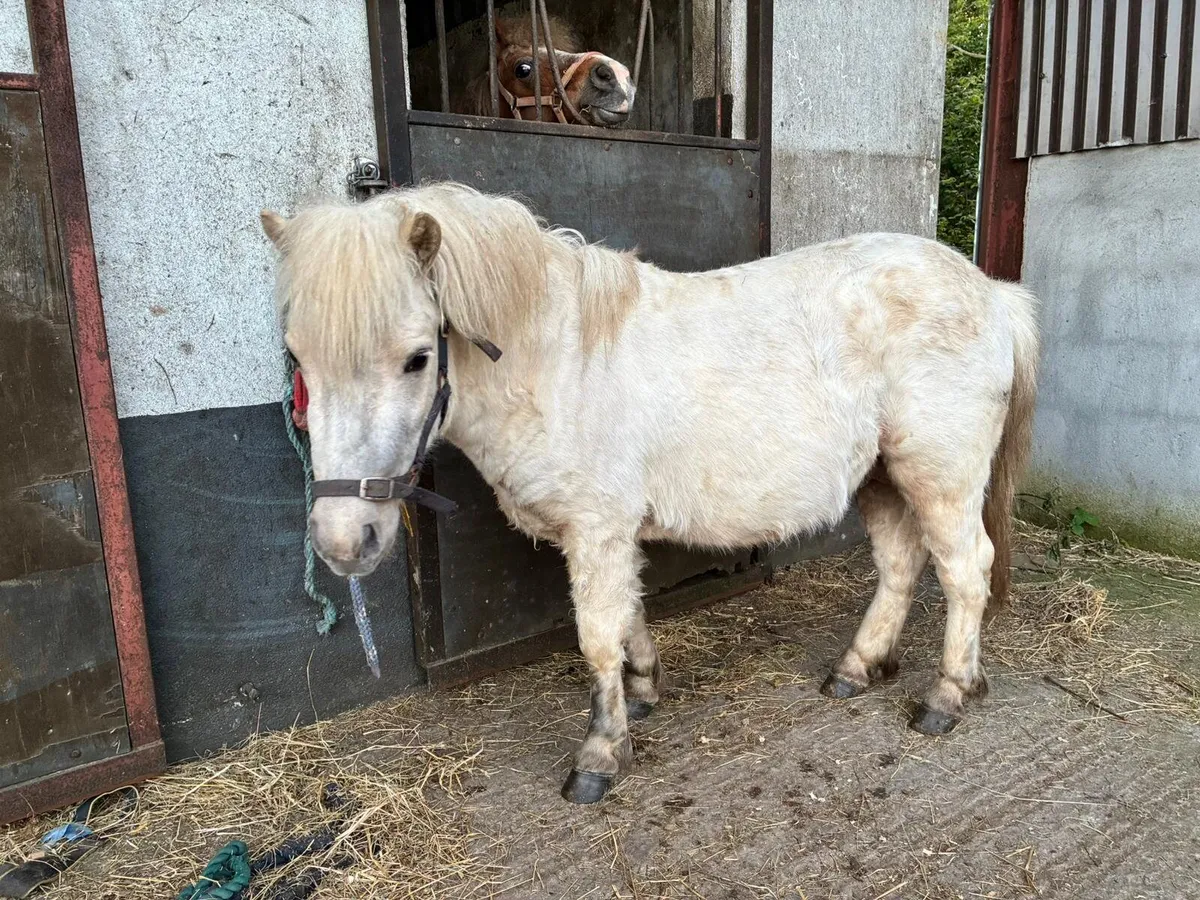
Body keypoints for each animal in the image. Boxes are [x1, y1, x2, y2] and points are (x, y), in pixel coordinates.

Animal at [260, 183, 1040, 805]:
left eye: (418, 358)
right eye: (298, 358)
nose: (342, 541)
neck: (558, 361)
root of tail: (992, 293)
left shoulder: (596, 528)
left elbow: (596, 636)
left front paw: (601, 754)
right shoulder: (610, 531)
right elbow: (629, 615)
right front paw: (641, 693)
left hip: (939, 476)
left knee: (964, 570)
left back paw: (947, 693)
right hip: (882, 477)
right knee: (901, 566)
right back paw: (858, 667)